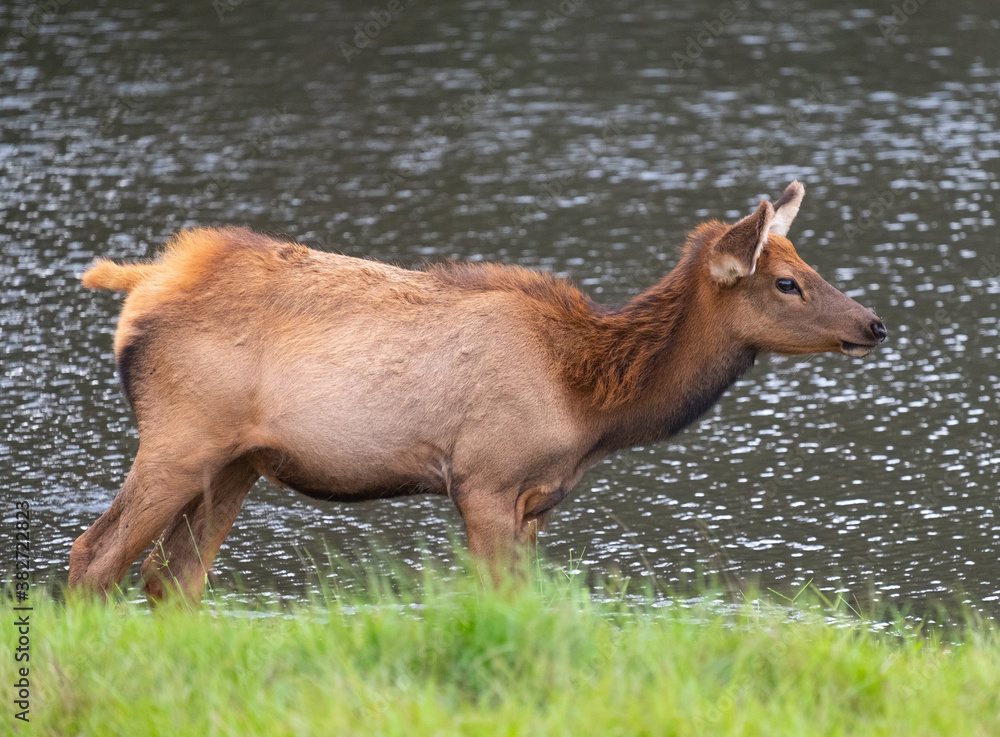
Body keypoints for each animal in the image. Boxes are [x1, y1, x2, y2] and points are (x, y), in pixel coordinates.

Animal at [68, 181, 887, 602]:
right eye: (786, 282)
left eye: (807, 263)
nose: (873, 324)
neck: (589, 403)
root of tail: (142, 282)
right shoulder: (485, 477)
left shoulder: (534, 501)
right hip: (181, 436)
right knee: (94, 554)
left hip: (236, 461)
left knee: (172, 576)